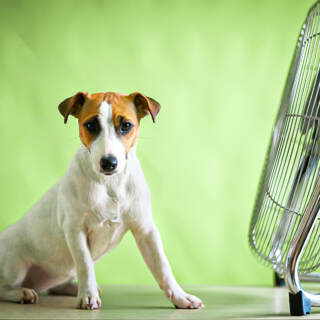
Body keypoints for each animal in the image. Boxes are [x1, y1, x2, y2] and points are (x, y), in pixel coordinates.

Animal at [0, 92, 204, 310]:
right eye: (90, 125)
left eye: (126, 126)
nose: (108, 162)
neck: (110, 183)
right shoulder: (75, 230)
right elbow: (85, 264)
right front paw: (87, 296)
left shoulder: (145, 230)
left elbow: (162, 266)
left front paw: (180, 296)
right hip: (15, 264)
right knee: (4, 286)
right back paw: (22, 292)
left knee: (55, 285)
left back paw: (70, 287)